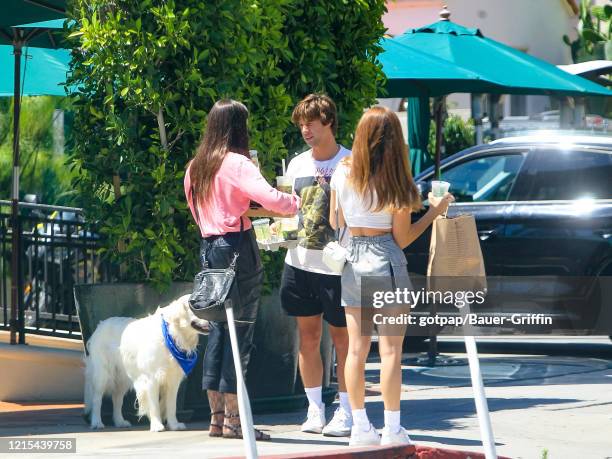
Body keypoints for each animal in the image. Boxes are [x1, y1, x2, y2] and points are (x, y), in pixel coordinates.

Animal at [82, 296, 209, 434]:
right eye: (196, 306)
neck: (173, 335)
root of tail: (101, 325)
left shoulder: (173, 380)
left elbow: (171, 405)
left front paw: (174, 425)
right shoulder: (151, 379)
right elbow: (154, 405)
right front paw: (157, 425)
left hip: (122, 378)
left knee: (117, 399)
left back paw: (120, 421)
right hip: (103, 374)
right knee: (97, 398)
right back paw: (97, 422)